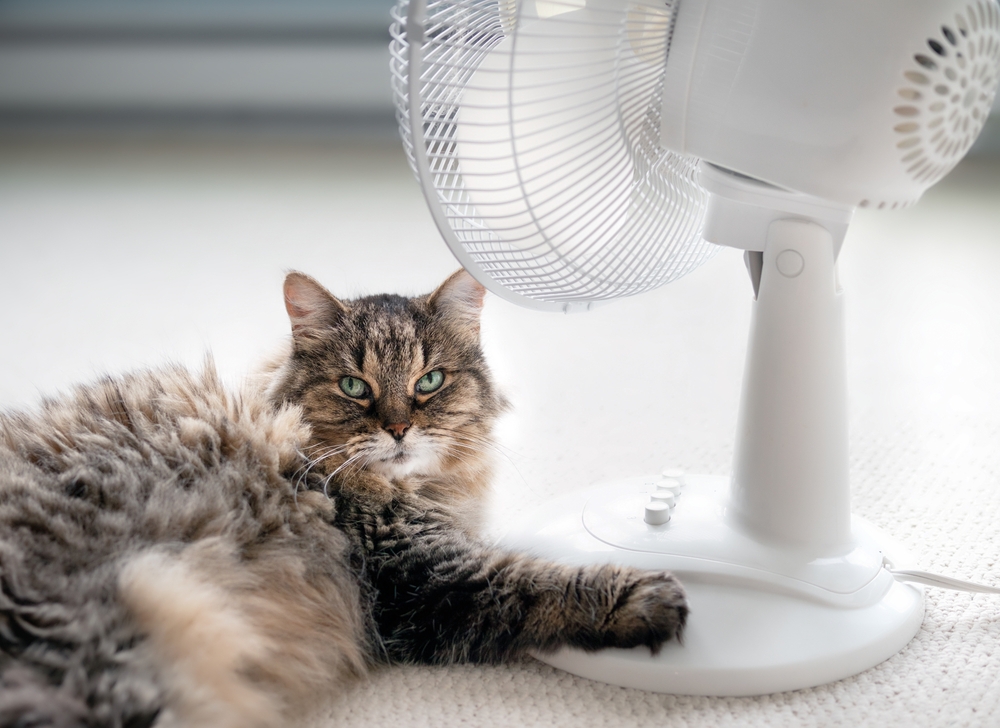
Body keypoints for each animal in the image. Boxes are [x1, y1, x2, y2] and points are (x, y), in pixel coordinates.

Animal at [0, 268, 688, 728]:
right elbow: (541, 581)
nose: (399, 428)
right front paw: (650, 597)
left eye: (430, 381)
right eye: (355, 387)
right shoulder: (420, 574)